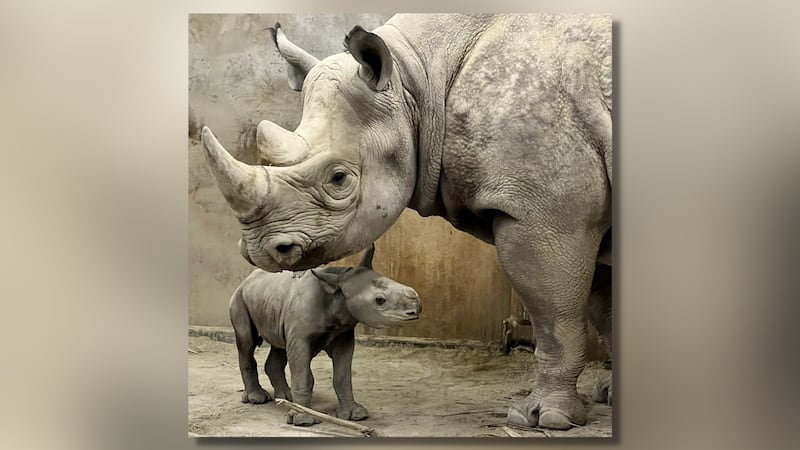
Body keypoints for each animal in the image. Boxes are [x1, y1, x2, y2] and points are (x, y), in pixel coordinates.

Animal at [229, 244, 422, 426]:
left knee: (279, 346)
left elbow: (343, 377)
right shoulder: (300, 339)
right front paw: (303, 420)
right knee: (247, 342)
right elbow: (304, 376)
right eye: (379, 300)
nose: (416, 308)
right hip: (239, 297)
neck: (337, 293)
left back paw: (286, 398)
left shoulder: (343, 335)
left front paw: (355, 415)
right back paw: (258, 399)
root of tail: (246, 279)